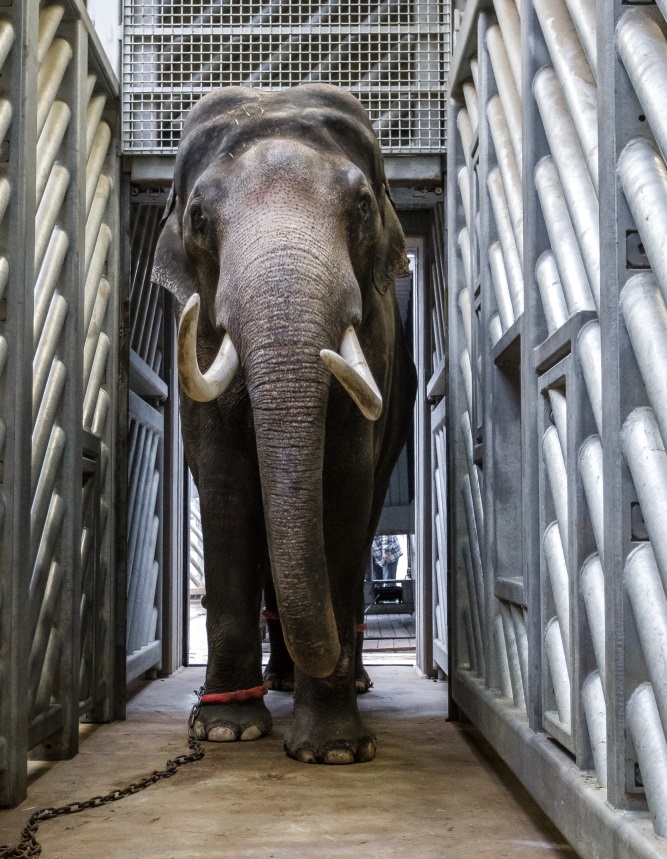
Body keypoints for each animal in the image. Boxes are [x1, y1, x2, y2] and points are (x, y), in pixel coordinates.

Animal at [151, 84, 418, 764]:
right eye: (198, 217)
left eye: (361, 205)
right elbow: (223, 486)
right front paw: (224, 729)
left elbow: (344, 488)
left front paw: (334, 751)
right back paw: (276, 684)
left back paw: (343, 680)